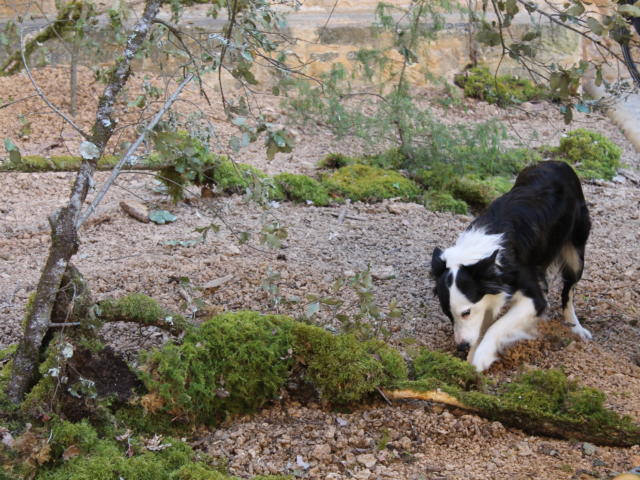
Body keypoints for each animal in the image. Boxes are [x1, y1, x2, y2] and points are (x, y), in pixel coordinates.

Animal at [432, 161, 592, 372]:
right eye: (446, 313)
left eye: (466, 313)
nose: (461, 346)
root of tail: (557, 162)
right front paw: (472, 355)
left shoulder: (532, 298)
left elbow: (497, 326)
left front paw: (481, 356)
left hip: (575, 254)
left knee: (569, 291)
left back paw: (576, 327)